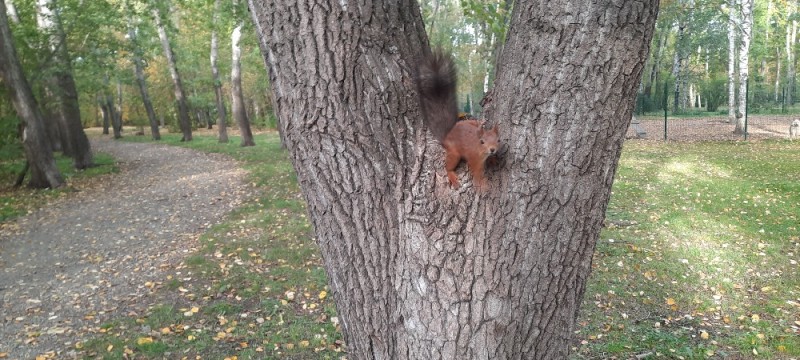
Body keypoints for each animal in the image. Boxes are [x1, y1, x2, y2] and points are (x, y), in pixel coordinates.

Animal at [418, 49, 500, 190]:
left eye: (498, 140)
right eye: (482, 142)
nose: (492, 150)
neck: (481, 151)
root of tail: (446, 136)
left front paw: (494, 159)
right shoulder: (473, 159)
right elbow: (476, 172)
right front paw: (481, 184)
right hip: (454, 153)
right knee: (448, 168)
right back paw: (453, 177)